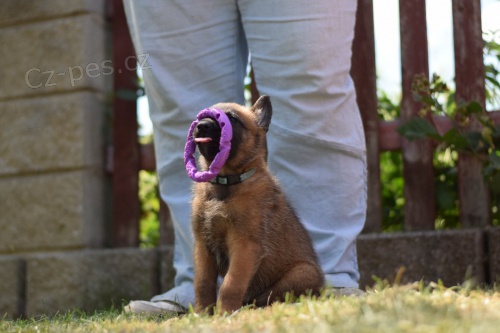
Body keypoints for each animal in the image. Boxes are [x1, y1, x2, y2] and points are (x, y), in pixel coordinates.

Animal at [191, 94, 324, 312]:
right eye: (203, 116)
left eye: (232, 118)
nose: (201, 126)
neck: (226, 183)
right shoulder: (202, 244)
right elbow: (202, 283)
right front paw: (202, 314)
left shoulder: (245, 245)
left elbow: (231, 284)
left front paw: (225, 312)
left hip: (304, 271)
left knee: (269, 296)